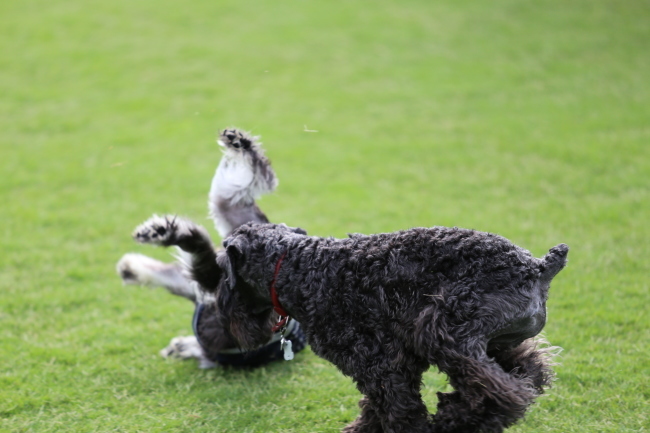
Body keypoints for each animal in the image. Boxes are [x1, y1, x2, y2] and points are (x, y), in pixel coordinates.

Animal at [134, 218, 564, 430]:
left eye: (223, 272)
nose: (215, 304)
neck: (299, 268)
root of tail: (538, 268)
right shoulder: (388, 367)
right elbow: (379, 407)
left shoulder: (380, 364)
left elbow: (398, 410)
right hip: (495, 342)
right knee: (529, 372)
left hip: (442, 334)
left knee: (502, 392)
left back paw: (453, 418)